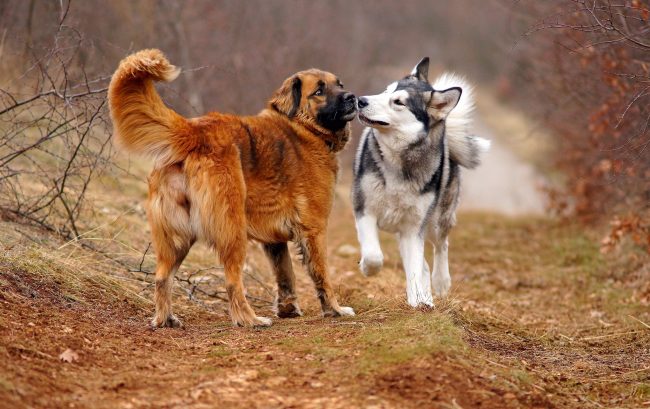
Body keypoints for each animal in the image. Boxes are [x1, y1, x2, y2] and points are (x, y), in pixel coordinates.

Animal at [109, 49, 356, 326]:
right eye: (319, 91)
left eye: (340, 85)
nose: (352, 98)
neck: (305, 129)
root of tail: (194, 132)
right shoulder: (314, 229)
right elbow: (322, 275)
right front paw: (334, 310)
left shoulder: (274, 241)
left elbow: (285, 275)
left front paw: (288, 309)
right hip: (233, 230)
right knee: (232, 281)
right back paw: (250, 320)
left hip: (177, 237)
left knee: (162, 277)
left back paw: (165, 319)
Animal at [352, 57, 488, 306]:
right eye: (385, 91)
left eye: (398, 102)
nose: (361, 100)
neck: (401, 161)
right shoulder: (364, 209)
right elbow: (375, 255)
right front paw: (368, 269)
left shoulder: (414, 228)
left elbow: (415, 267)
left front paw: (418, 302)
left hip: (435, 222)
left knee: (440, 247)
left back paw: (439, 284)